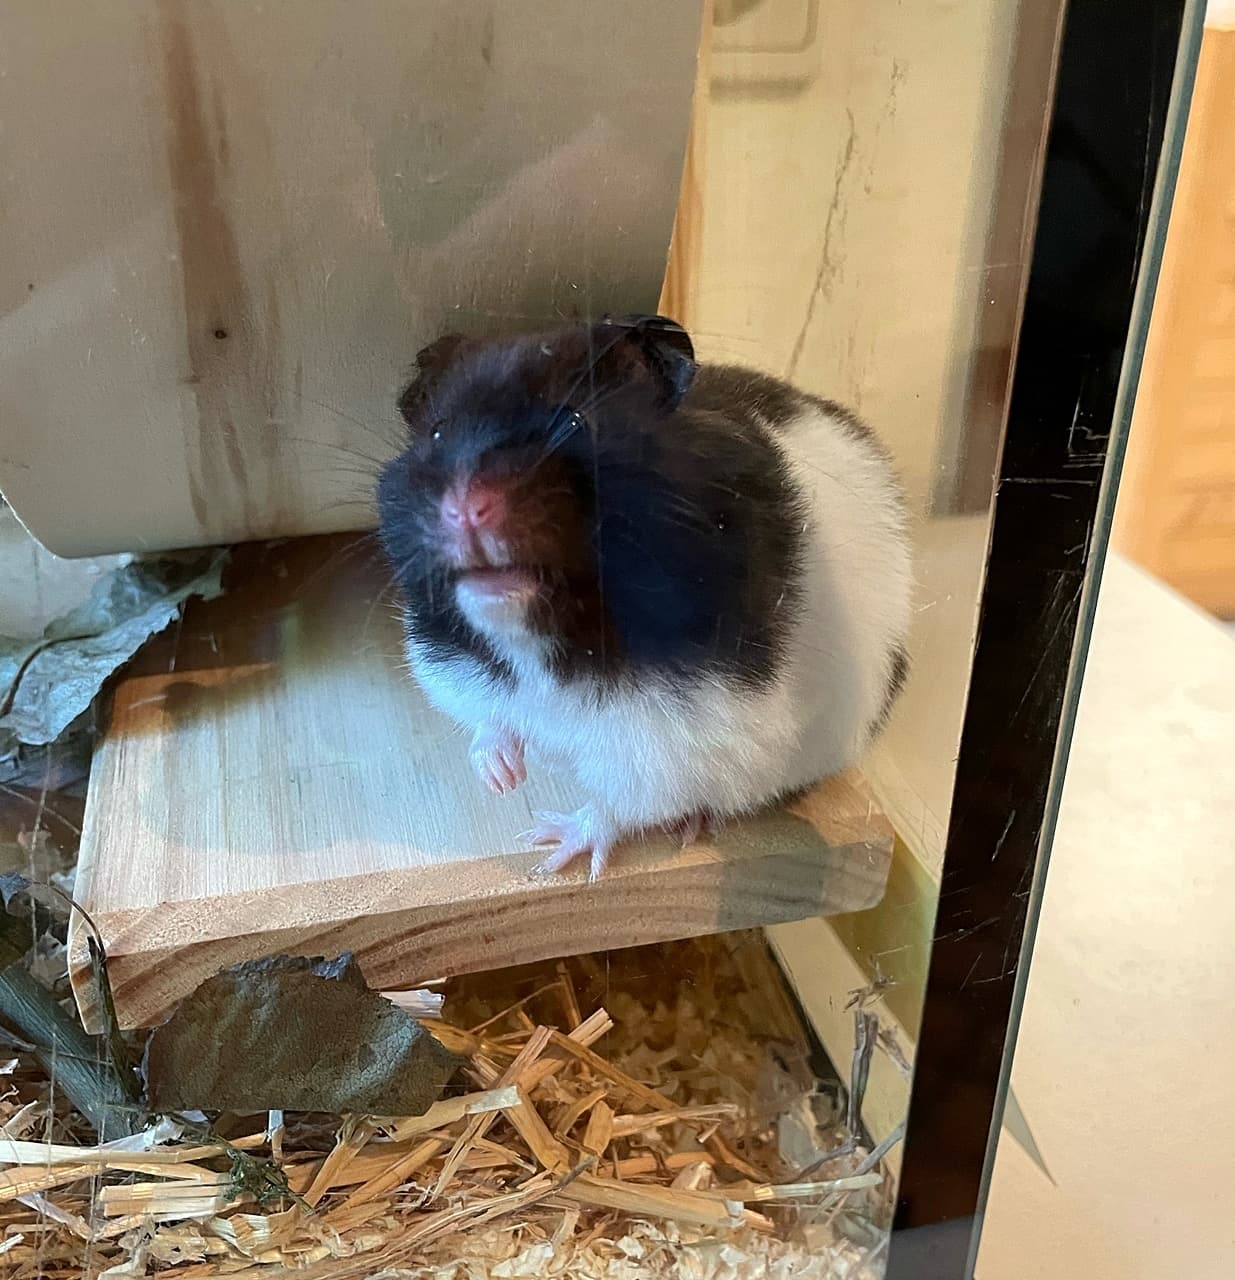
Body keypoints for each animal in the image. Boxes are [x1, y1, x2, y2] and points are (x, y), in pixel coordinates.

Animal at [377, 314, 912, 879]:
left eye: (574, 423)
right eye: (437, 433)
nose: (465, 509)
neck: (539, 641)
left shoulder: (680, 735)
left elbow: (618, 803)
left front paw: (549, 850)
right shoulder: (457, 668)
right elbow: (490, 721)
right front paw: (501, 779)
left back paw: (690, 825)